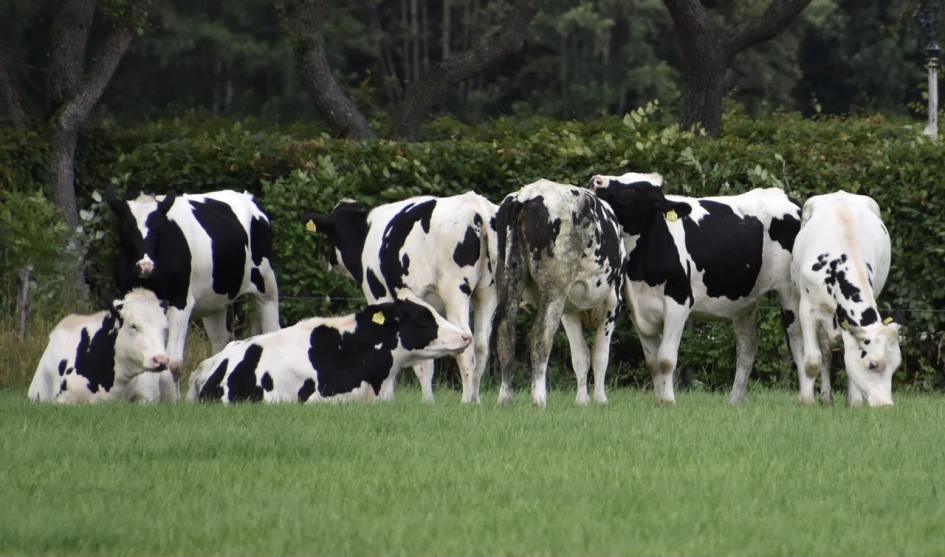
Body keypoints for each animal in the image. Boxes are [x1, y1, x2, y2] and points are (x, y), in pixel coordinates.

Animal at [105, 188, 280, 382]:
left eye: (159, 227)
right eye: (127, 227)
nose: (145, 265)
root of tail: (247, 196)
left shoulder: (181, 300)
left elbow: (173, 362)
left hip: (267, 286)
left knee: (272, 329)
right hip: (215, 302)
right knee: (221, 341)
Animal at [300, 192, 499, 403]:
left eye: (331, 235)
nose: (330, 262)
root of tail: (474, 202)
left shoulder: (380, 297)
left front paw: (395, 399)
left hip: (455, 290)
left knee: (467, 345)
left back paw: (466, 400)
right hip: (487, 293)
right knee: (481, 345)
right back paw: (476, 400)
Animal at [493, 179, 626, 407]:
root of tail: (524, 196)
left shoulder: (569, 310)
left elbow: (580, 356)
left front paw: (582, 401)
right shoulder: (613, 301)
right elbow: (600, 354)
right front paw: (600, 399)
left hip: (510, 278)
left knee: (506, 332)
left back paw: (505, 398)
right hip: (555, 287)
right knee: (540, 335)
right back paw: (538, 398)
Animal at [589, 172, 808, 405]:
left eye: (634, 189)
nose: (596, 180)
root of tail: (787, 197)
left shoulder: (678, 304)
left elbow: (666, 359)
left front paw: (668, 401)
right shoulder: (638, 310)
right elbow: (652, 362)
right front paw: (659, 400)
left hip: (789, 291)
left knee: (797, 340)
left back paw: (804, 397)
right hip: (745, 299)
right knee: (747, 345)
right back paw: (735, 401)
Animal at [791, 191, 903, 407]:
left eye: (896, 366)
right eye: (873, 364)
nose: (886, 405)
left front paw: (855, 402)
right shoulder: (807, 309)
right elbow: (812, 360)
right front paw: (806, 401)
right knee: (825, 352)